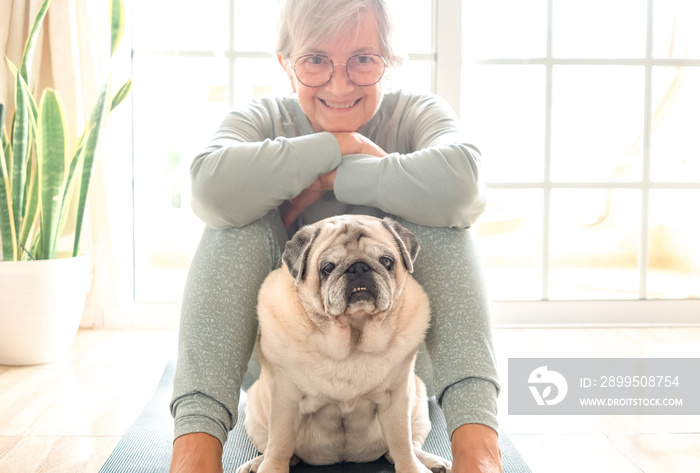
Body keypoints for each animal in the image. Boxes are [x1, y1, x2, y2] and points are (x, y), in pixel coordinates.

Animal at [237, 216, 454, 472]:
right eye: (327, 268)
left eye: (387, 261)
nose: (359, 267)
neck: (353, 337)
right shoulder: (285, 400)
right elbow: (279, 445)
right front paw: (270, 467)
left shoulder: (397, 399)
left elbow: (402, 443)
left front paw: (411, 467)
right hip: (256, 414)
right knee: (276, 449)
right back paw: (256, 463)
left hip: (418, 410)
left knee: (406, 446)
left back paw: (431, 461)